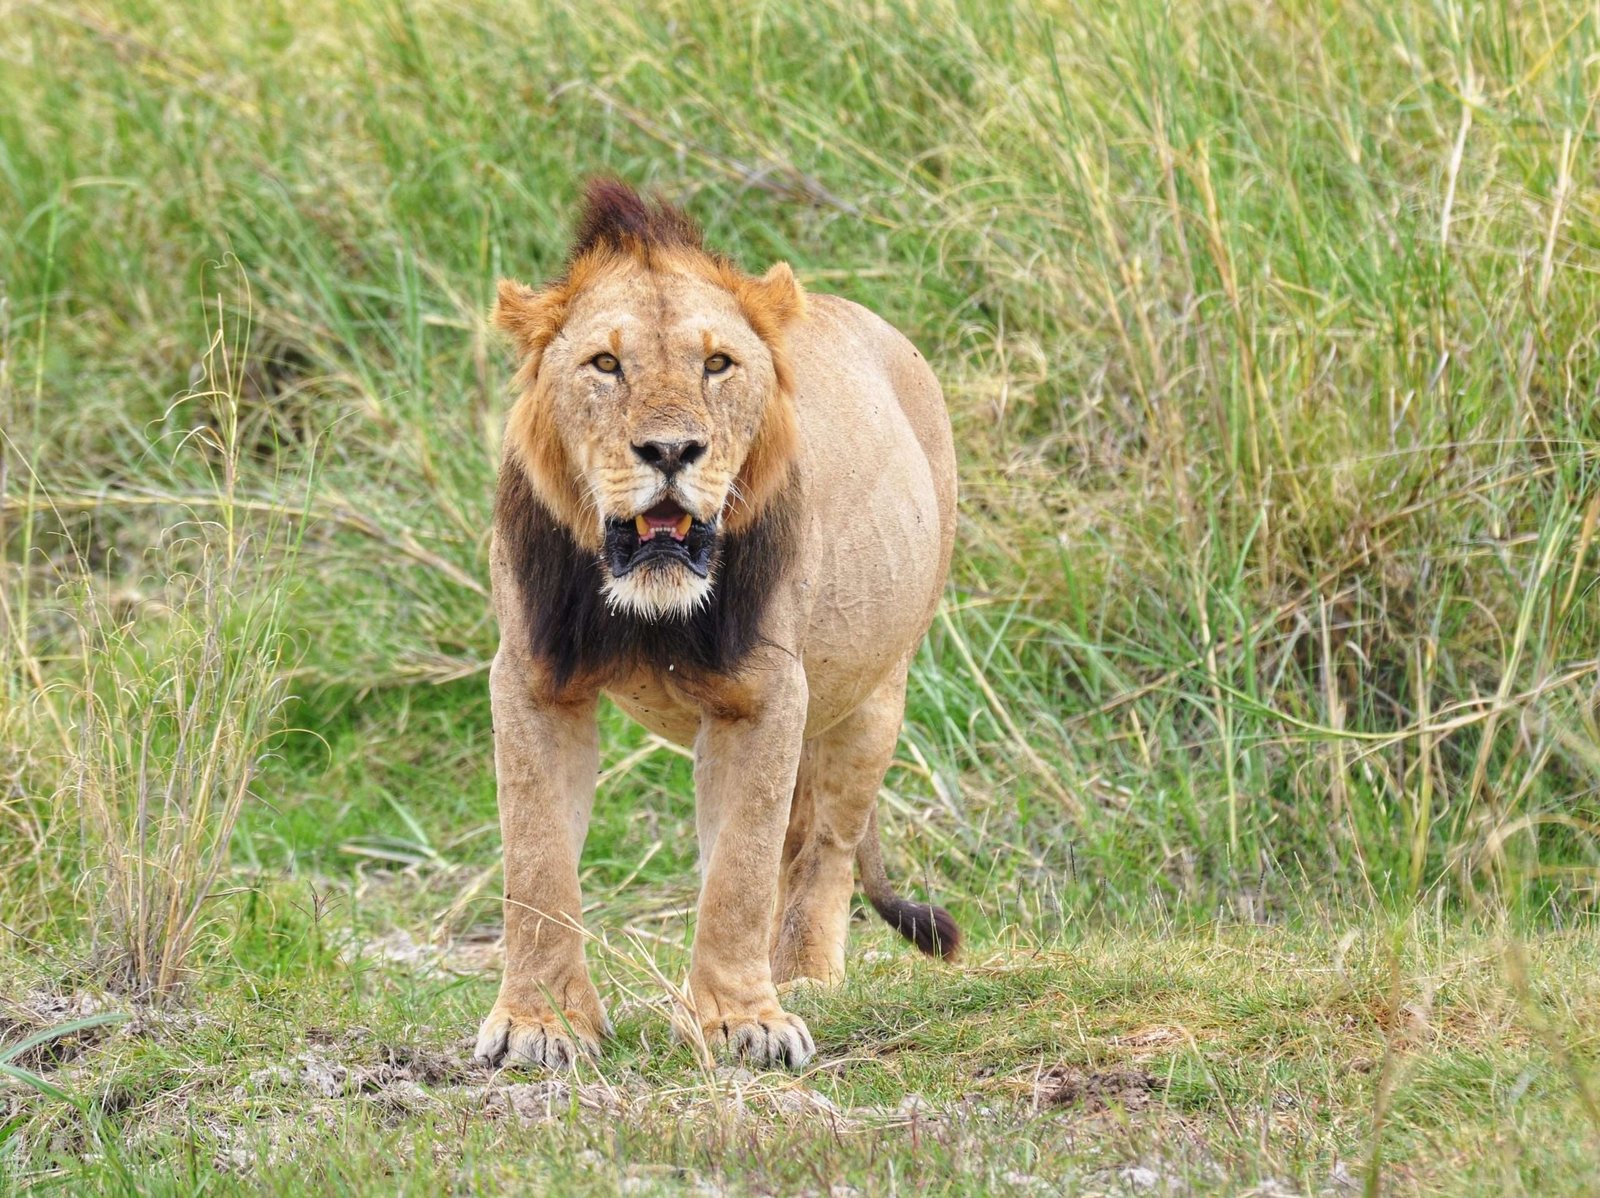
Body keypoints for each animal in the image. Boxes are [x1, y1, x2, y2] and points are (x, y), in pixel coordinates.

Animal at [473, 179, 958, 1071]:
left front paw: (742, 1022)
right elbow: (538, 861)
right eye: (605, 364)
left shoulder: (763, 691)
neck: (647, 606)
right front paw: (540, 1025)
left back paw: (803, 979)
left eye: (717, 364)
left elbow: (739, 870)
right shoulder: (533, 679)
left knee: (824, 848)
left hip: (874, 692)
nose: (671, 450)